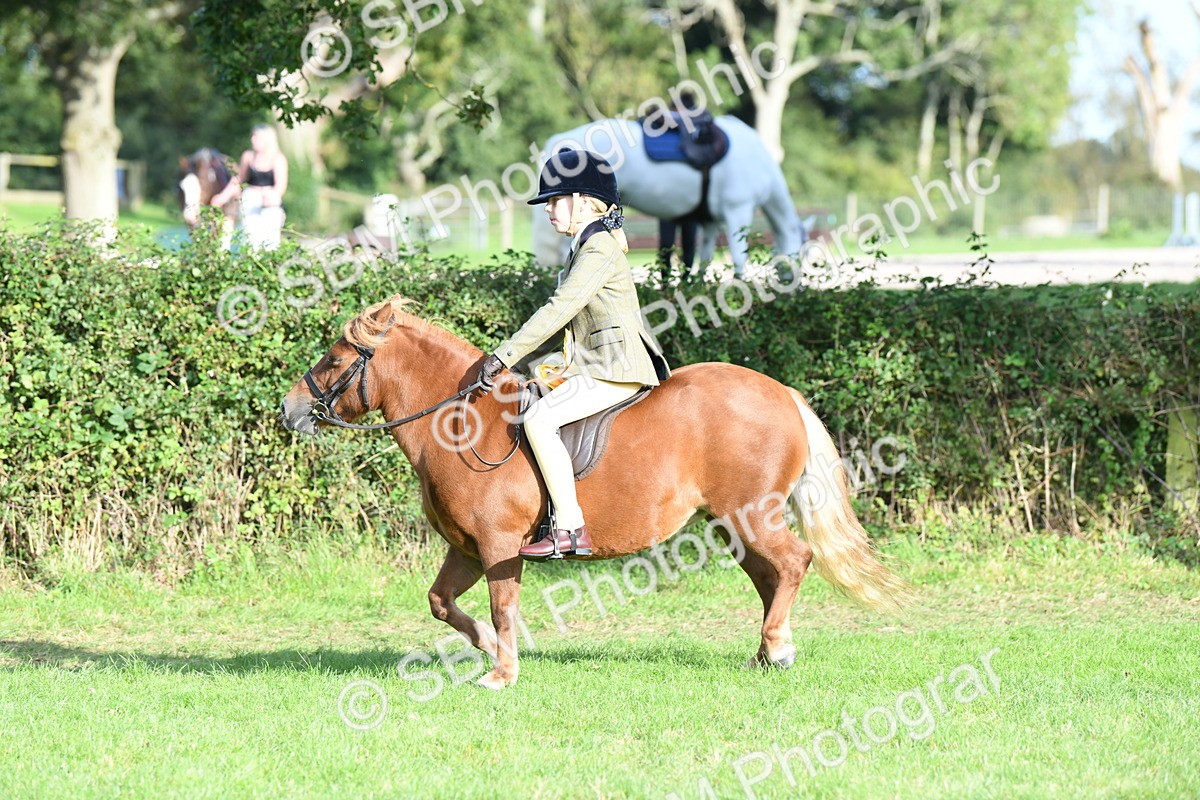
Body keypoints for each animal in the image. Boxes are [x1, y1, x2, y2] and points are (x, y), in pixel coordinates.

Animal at [279, 297, 912, 689]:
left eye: (334, 360)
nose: (289, 411)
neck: (462, 422)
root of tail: (782, 392)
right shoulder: (465, 548)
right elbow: (441, 602)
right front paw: (485, 646)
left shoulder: (499, 545)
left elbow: (502, 606)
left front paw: (501, 672)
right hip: (733, 524)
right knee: (769, 576)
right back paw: (764, 655)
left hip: (751, 516)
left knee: (793, 562)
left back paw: (776, 647)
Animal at [533, 116, 806, 278]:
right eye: (801, 256)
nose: (794, 290)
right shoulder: (738, 210)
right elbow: (740, 258)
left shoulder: (709, 221)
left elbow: (704, 261)